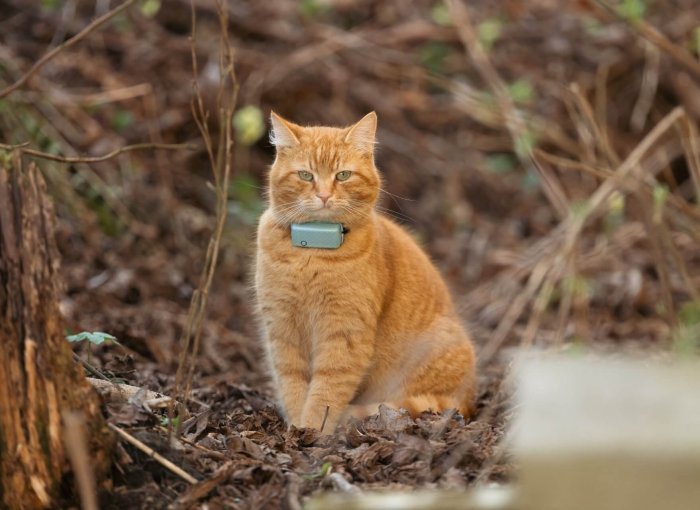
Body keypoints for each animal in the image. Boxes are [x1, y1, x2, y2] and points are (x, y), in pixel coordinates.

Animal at [254, 111, 478, 430]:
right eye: (306, 175)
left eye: (343, 175)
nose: (324, 195)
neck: (313, 251)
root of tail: (471, 400)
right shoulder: (283, 329)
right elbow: (292, 382)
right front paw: (296, 427)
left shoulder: (345, 333)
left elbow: (327, 390)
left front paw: (311, 429)